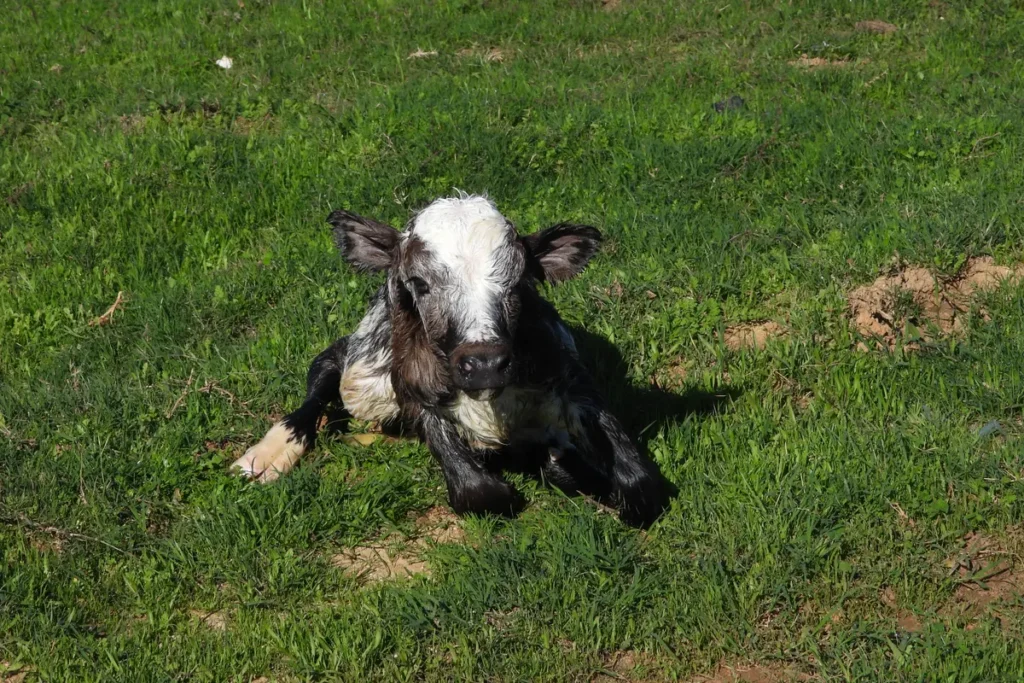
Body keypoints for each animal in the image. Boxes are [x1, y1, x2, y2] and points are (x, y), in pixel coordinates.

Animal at [233, 194, 671, 528]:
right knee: (326, 366)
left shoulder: (572, 375)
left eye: (520, 282)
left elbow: (642, 484)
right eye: (419, 283)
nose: (485, 364)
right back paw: (267, 455)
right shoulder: (414, 390)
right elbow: (480, 492)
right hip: (363, 370)